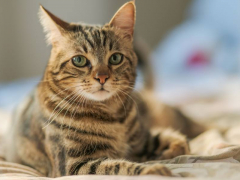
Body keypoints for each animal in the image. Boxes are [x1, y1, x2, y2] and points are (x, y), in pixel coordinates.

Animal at [4, 1, 191, 177]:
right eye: (79, 60)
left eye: (115, 58)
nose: (102, 77)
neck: (113, 117)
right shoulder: (74, 165)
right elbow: (119, 166)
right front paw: (155, 168)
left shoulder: (142, 140)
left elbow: (179, 142)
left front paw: (165, 153)